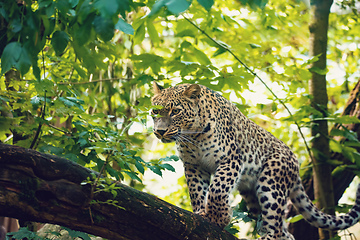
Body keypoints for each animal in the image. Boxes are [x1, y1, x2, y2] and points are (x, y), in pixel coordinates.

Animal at [150, 81, 360, 239]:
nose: (159, 131)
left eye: (175, 111)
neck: (192, 135)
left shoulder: (231, 160)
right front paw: (202, 212)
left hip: (271, 184)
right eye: (155, 112)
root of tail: (295, 163)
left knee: (275, 228)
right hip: (251, 195)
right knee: (283, 232)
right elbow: (197, 192)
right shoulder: (193, 166)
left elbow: (217, 189)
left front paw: (219, 217)